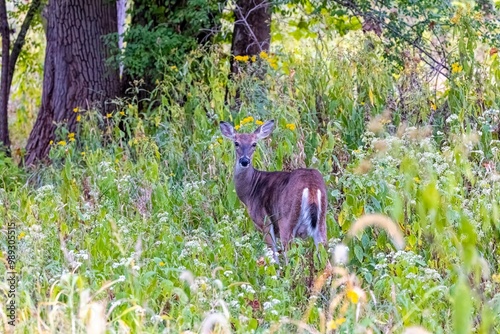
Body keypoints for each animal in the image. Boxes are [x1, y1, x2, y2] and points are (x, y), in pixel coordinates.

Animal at [220, 118, 328, 262]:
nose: (244, 161)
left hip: (286, 221)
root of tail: (311, 187)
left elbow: (273, 257)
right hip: (321, 224)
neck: (250, 191)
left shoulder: (263, 222)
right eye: (236, 143)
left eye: (254, 144)